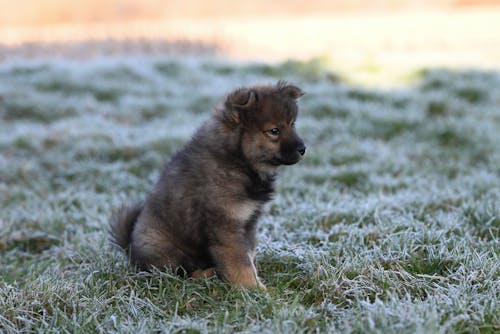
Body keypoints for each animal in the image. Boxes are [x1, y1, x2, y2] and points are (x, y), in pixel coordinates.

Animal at [110, 81, 304, 290]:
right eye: (274, 131)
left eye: (293, 124)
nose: (303, 149)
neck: (238, 161)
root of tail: (130, 250)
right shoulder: (226, 226)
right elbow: (240, 262)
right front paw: (254, 289)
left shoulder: (248, 222)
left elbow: (248, 255)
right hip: (161, 246)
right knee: (181, 273)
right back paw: (209, 274)